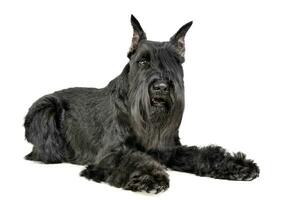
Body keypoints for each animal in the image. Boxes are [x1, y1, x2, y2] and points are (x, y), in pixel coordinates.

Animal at [23, 15, 260, 194]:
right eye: (143, 61)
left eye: (175, 61)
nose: (161, 87)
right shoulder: (111, 154)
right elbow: (130, 159)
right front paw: (150, 176)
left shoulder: (169, 149)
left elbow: (202, 153)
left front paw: (238, 166)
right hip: (45, 110)